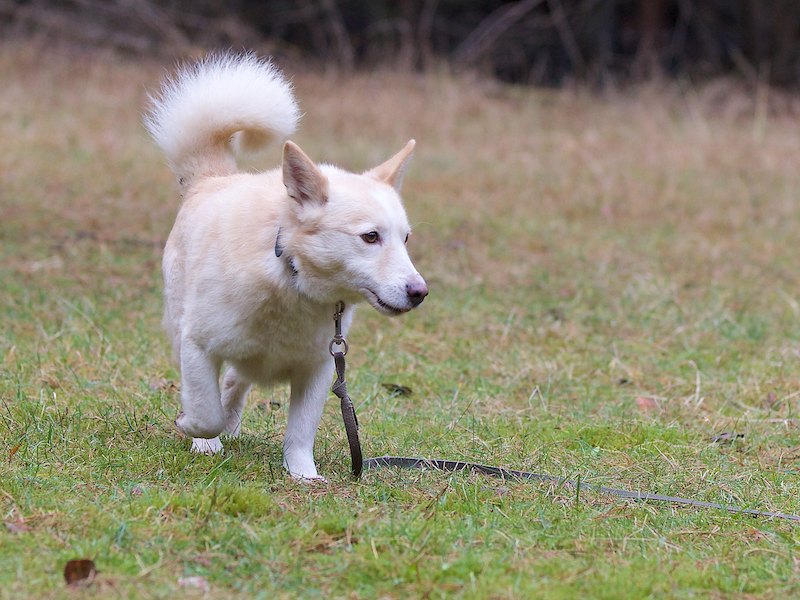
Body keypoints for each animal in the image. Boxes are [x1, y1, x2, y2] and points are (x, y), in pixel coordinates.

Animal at [144, 53, 428, 480]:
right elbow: (205, 410)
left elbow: (300, 432)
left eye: (405, 239)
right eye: (370, 237)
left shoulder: (320, 369)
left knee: (235, 381)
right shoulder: (196, 346)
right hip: (184, 327)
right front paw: (198, 434)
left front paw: (304, 475)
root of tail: (212, 179)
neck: (290, 278)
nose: (419, 293)